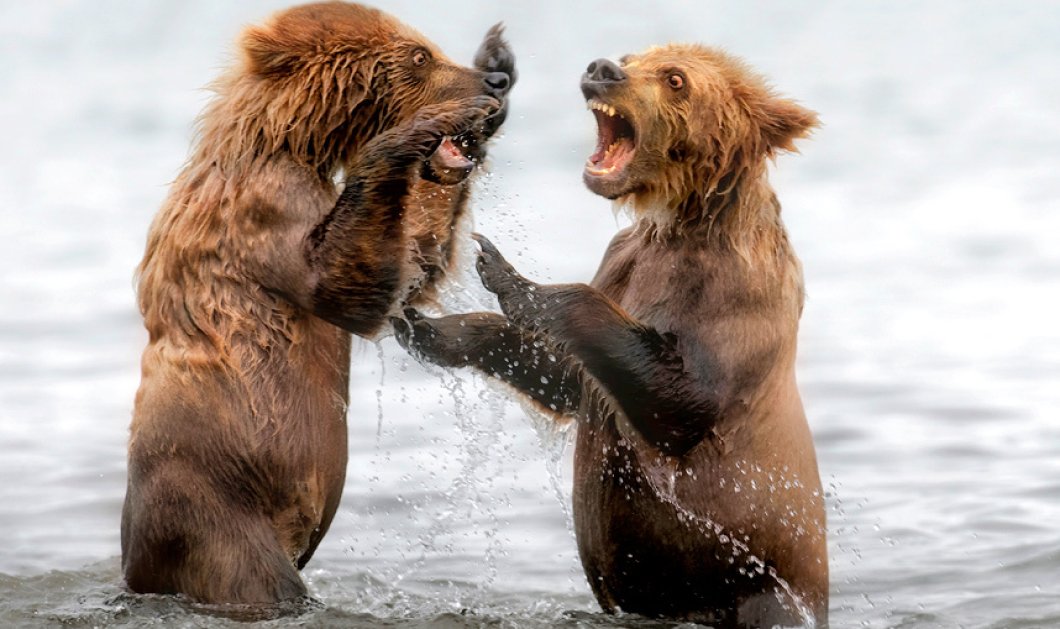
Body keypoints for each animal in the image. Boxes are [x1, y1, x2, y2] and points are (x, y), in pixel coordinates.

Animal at [121, 2, 517, 606]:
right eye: (418, 56)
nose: (490, 84)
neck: (285, 143)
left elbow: (413, 264)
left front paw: (497, 62)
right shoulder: (265, 209)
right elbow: (342, 287)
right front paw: (412, 133)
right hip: (212, 511)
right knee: (254, 574)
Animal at [398, 45, 826, 627]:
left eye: (675, 78)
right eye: (633, 55)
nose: (603, 69)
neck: (681, 221)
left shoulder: (735, 291)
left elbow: (684, 401)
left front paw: (507, 274)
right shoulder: (624, 259)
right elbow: (568, 376)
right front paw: (423, 324)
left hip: (766, 586)